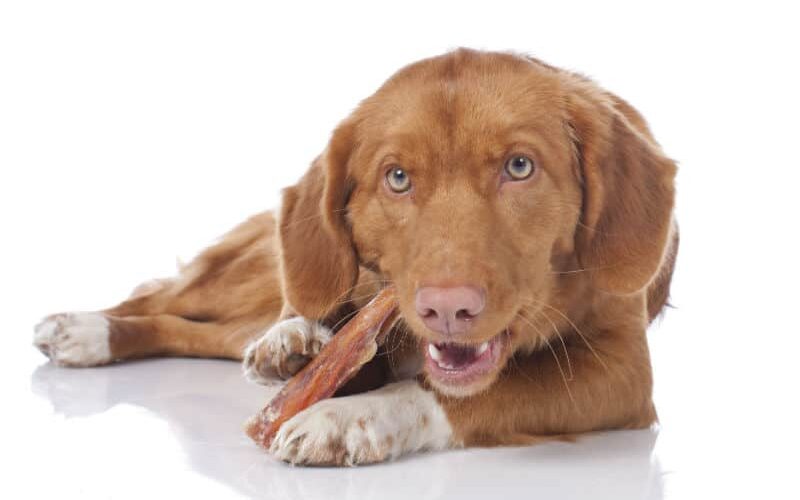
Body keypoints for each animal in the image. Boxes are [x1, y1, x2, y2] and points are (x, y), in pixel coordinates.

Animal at [34, 48, 680, 466]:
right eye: (397, 178)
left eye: (519, 166)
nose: (448, 310)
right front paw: (303, 348)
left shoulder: (623, 369)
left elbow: (462, 392)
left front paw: (350, 418)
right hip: (249, 272)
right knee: (165, 296)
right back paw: (86, 330)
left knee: (194, 330)